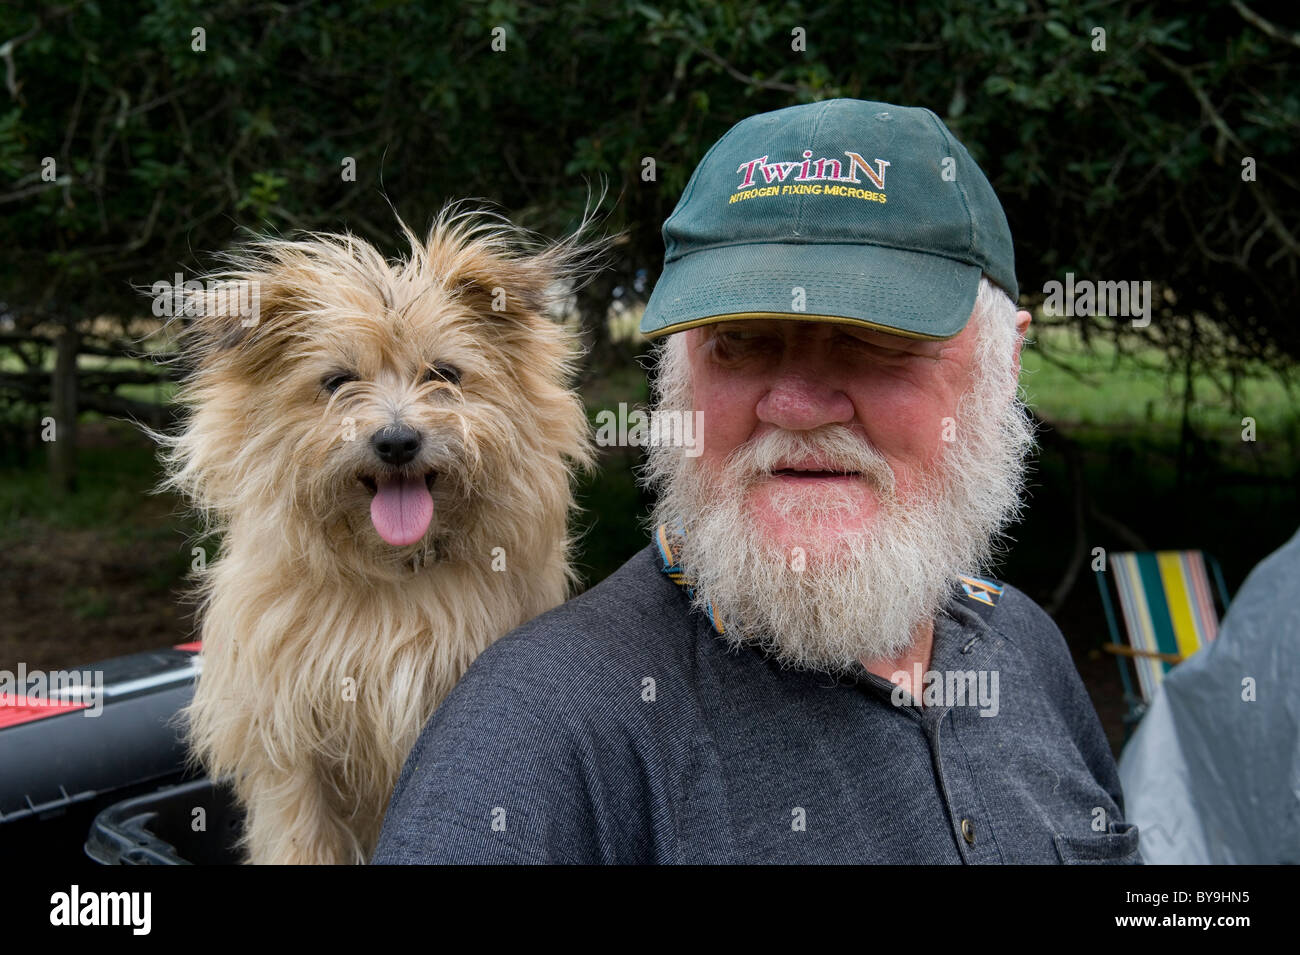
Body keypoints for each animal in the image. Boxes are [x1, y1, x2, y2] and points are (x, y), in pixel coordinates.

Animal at [156, 209, 598, 867]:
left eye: (444, 375)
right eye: (337, 381)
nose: (397, 441)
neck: (392, 577)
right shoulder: (290, 747)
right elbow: (302, 838)